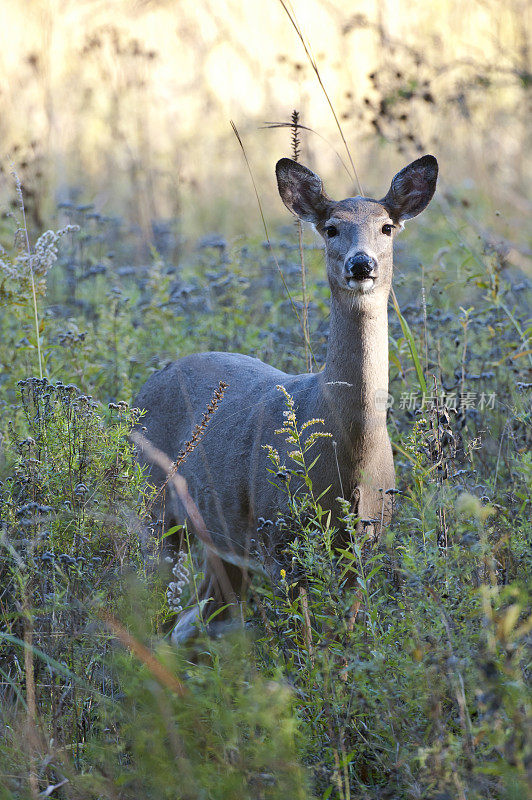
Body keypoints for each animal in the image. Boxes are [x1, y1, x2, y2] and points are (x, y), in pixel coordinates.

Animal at [133, 155, 436, 644]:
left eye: (387, 226)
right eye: (331, 227)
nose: (361, 263)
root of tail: (148, 385)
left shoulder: (367, 545)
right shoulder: (281, 540)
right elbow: (304, 642)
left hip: (220, 542)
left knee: (195, 619)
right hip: (157, 508)